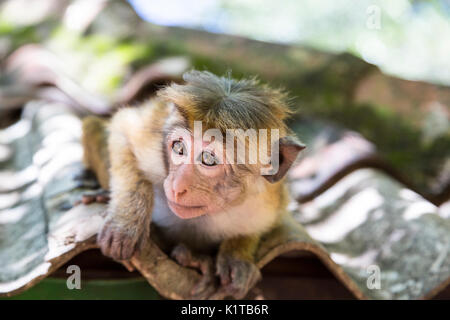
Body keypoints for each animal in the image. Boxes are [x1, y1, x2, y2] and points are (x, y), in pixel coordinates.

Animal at [81, 70, 306, 300]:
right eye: (178, 148)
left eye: (208, 159)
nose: (176, 186)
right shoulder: (152, 139)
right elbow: (123, 129)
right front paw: (126, 222)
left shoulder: (267, 200)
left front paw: (237, 254)